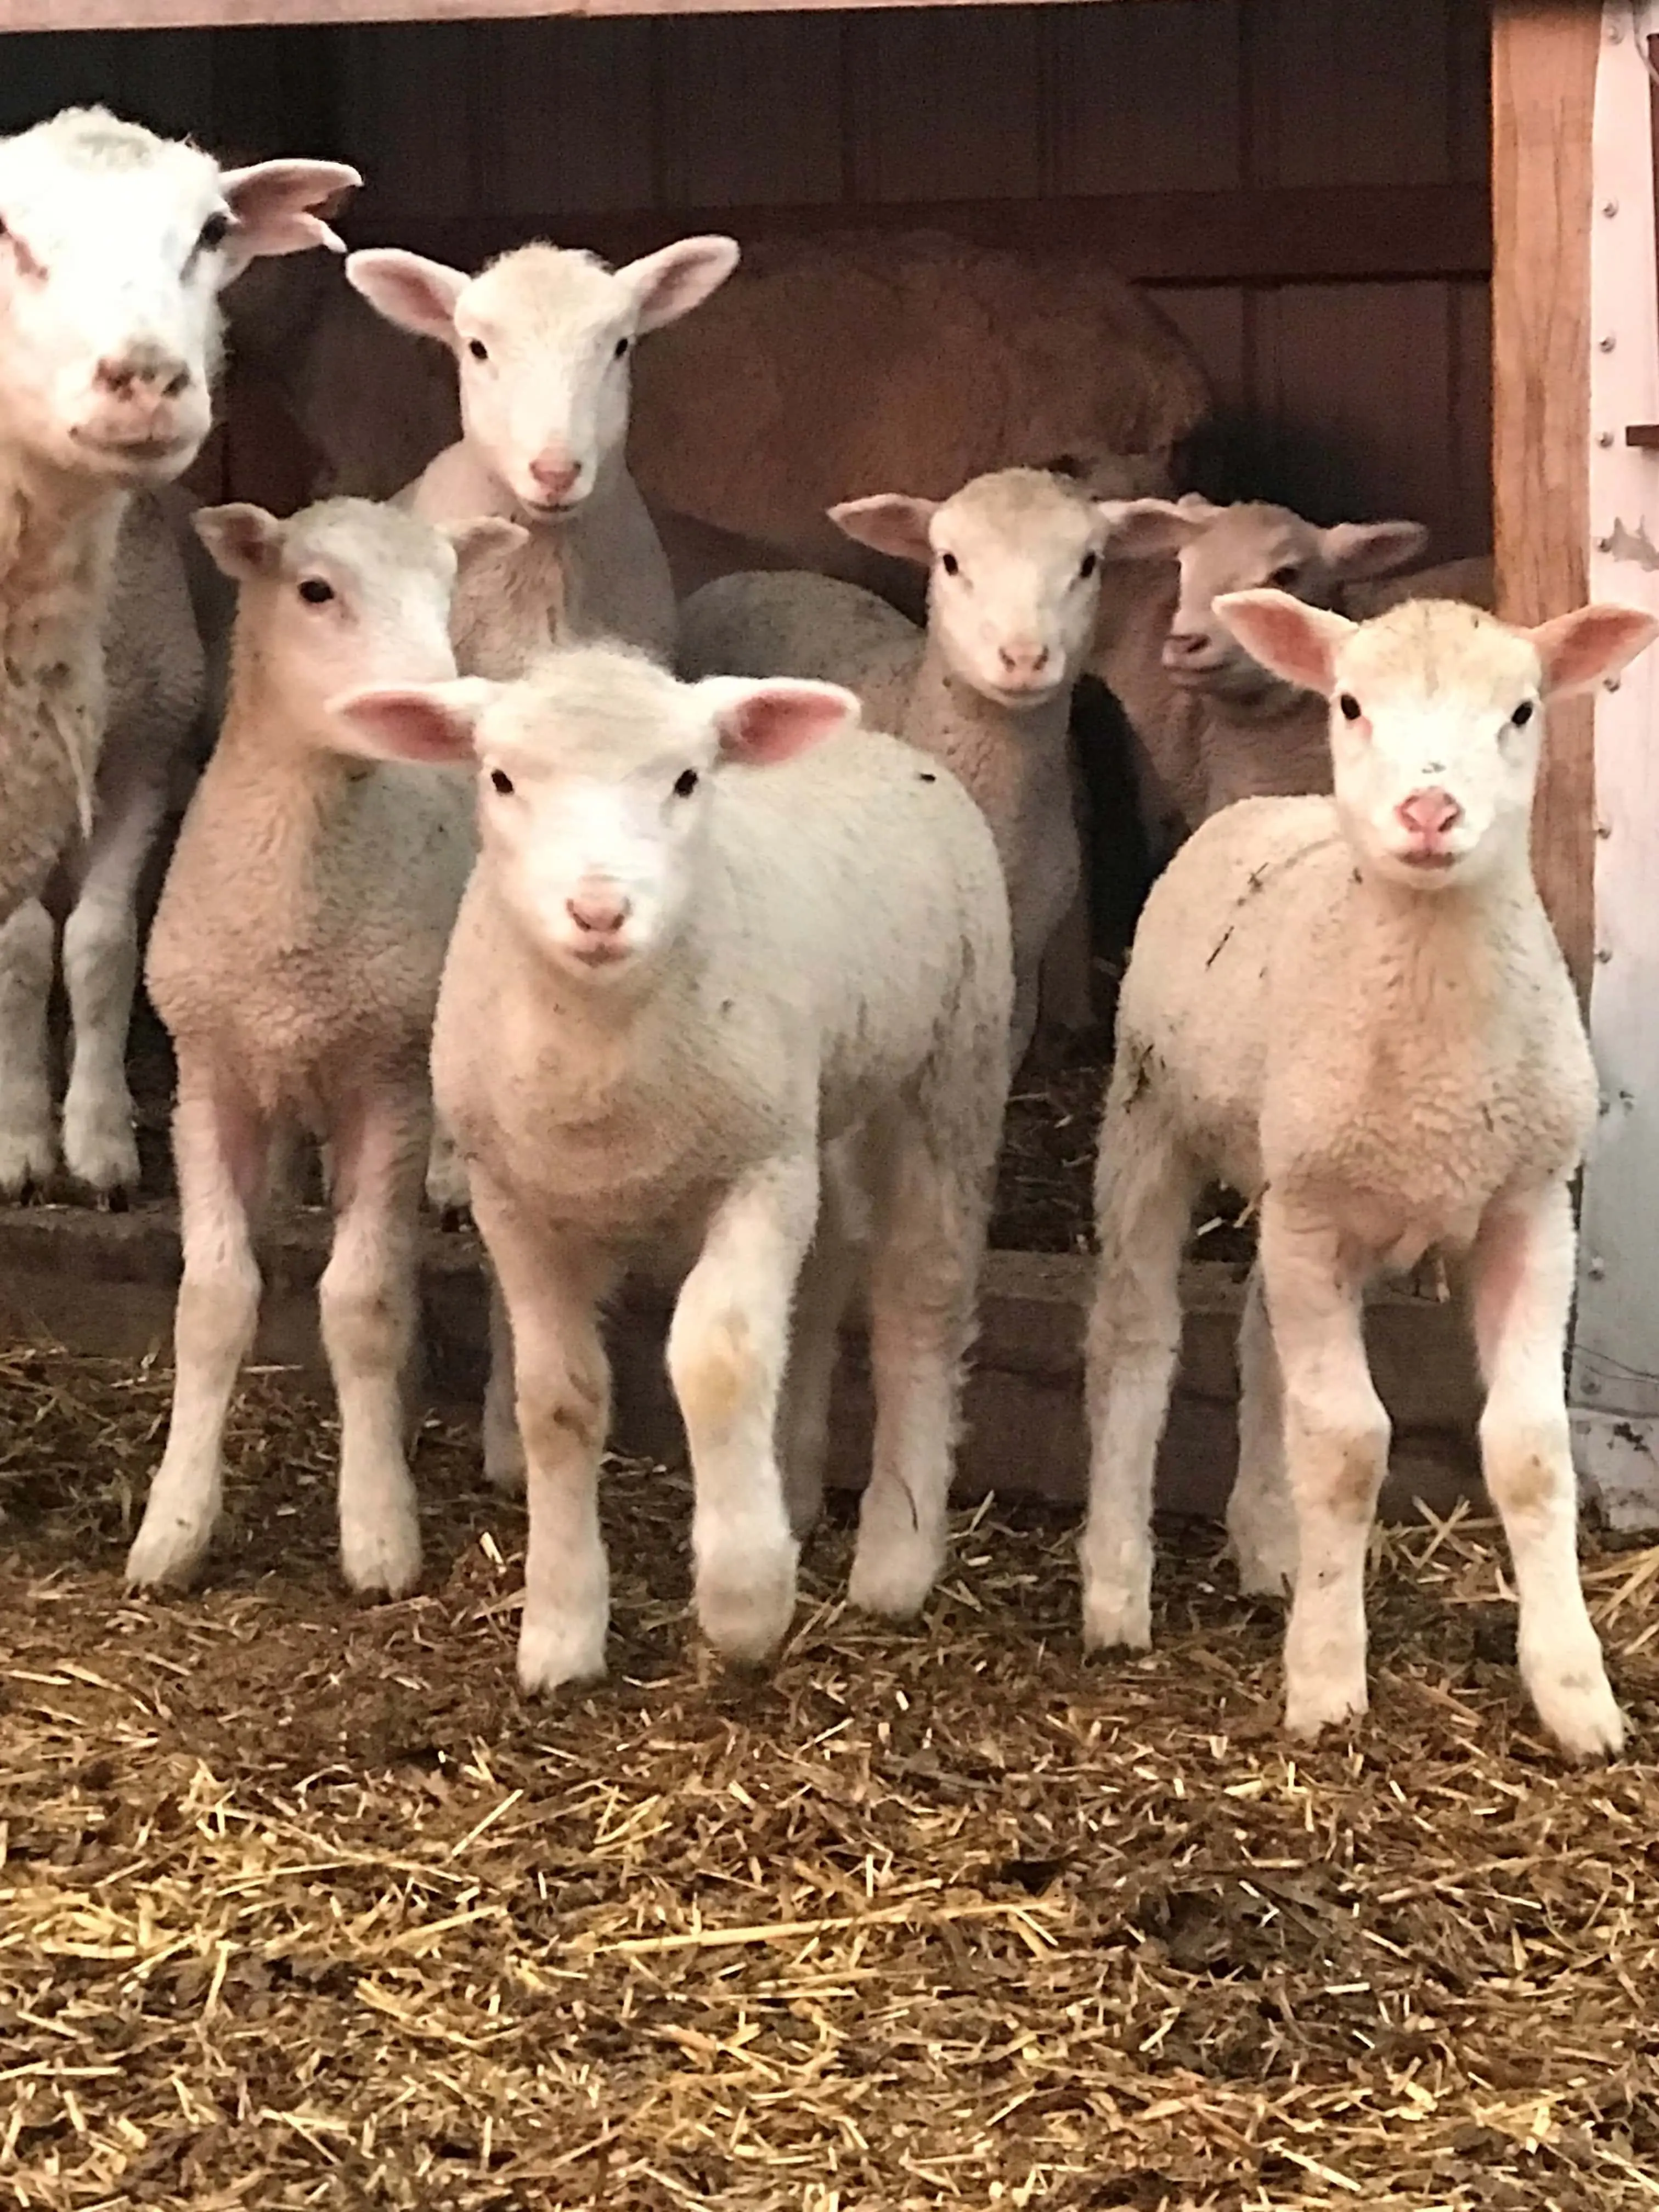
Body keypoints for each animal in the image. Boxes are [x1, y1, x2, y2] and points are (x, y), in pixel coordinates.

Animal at [125, 497, 524, 1599]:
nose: (440, 707)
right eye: (314, 589)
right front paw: (173, 1527)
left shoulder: (388, 1090)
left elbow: (362, 1302)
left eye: (448, 588)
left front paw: (378, 1529)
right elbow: (213, 1299)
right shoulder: (208, 1083)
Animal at [329, 645, 1013, 1692]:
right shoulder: (514, 1201)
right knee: (826, 1273)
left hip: (948, 1072)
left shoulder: (757, 1173)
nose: (599, 911)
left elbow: (720, 1362)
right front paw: (561, 1627)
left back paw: (896, 1552)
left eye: (688, 780)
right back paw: (796, 1484)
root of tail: (876, 743)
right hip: (817, 1104)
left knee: (920, 1301)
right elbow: (558, 1400)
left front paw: (743, 1599)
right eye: (501, 778)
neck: (603, 1049)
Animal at [1079, 589, 1658, 1759]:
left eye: (1521, 709)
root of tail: (1264, 806)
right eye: (1348, 703)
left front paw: (1574, 1693)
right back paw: (1116, 1589)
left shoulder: (1526, 1208)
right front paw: (1324, 1679)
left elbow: (1528, 1449)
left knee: (1256, 1334)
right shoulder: (1314, 1220)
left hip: (1286, 1176)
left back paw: (1270, 1546)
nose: (1429, 811)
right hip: (1150, 1117)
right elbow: (1346, 1445)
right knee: (1135, 1336)